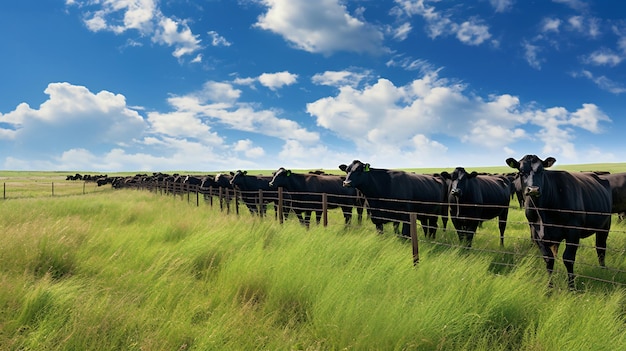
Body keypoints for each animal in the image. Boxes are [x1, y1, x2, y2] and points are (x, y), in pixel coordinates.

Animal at [502, 155, 608, 290]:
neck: (543, 213)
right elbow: (548, 259)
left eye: (542, 171)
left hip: (605, 225)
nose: (533, 189)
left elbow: (568, 259)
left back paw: (602, 269)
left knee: (601, 247)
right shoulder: (537, 233)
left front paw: (571, 287)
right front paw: (549, 288)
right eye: (521, 172)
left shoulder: (573, 231)